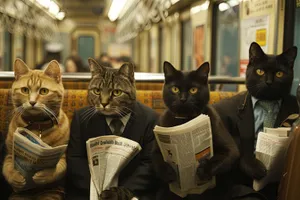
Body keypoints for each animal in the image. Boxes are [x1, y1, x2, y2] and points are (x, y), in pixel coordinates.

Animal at [2, 58, 69, 199]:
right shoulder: (10, 152)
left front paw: (43, 175)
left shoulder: (63, 155)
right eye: (25, 90)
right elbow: (7, 167)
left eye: (44, 91)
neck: (37, 126)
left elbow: (59, 168)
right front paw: (16, 178)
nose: (32, 102)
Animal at [152, 61, 239, 199]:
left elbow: (222, 158)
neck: (185, 120)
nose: (183, 99)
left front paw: (204, 170)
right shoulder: (157, 145)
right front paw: (170, 173)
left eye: (193, 90)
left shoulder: (231, 149)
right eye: (175, 89)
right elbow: (156, 160)